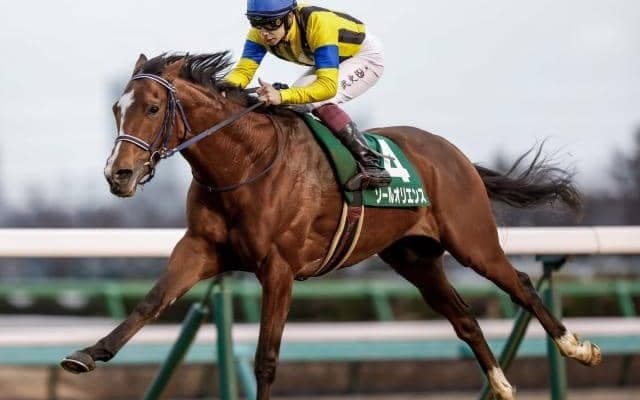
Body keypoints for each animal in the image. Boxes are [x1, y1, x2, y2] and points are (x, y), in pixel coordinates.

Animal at [60, 52, 601, 400]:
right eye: (116, 109)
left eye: (153, 108)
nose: (118, 175)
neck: (244, 163)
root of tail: (456, 155)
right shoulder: (201, 249)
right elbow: (151, 303)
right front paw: (88, 354)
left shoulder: (279, 267)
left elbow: (266, 357)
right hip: (414, 257)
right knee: (464, 317)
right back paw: (502, 385)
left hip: (471, 241)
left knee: (522, 284)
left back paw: (577, 348)